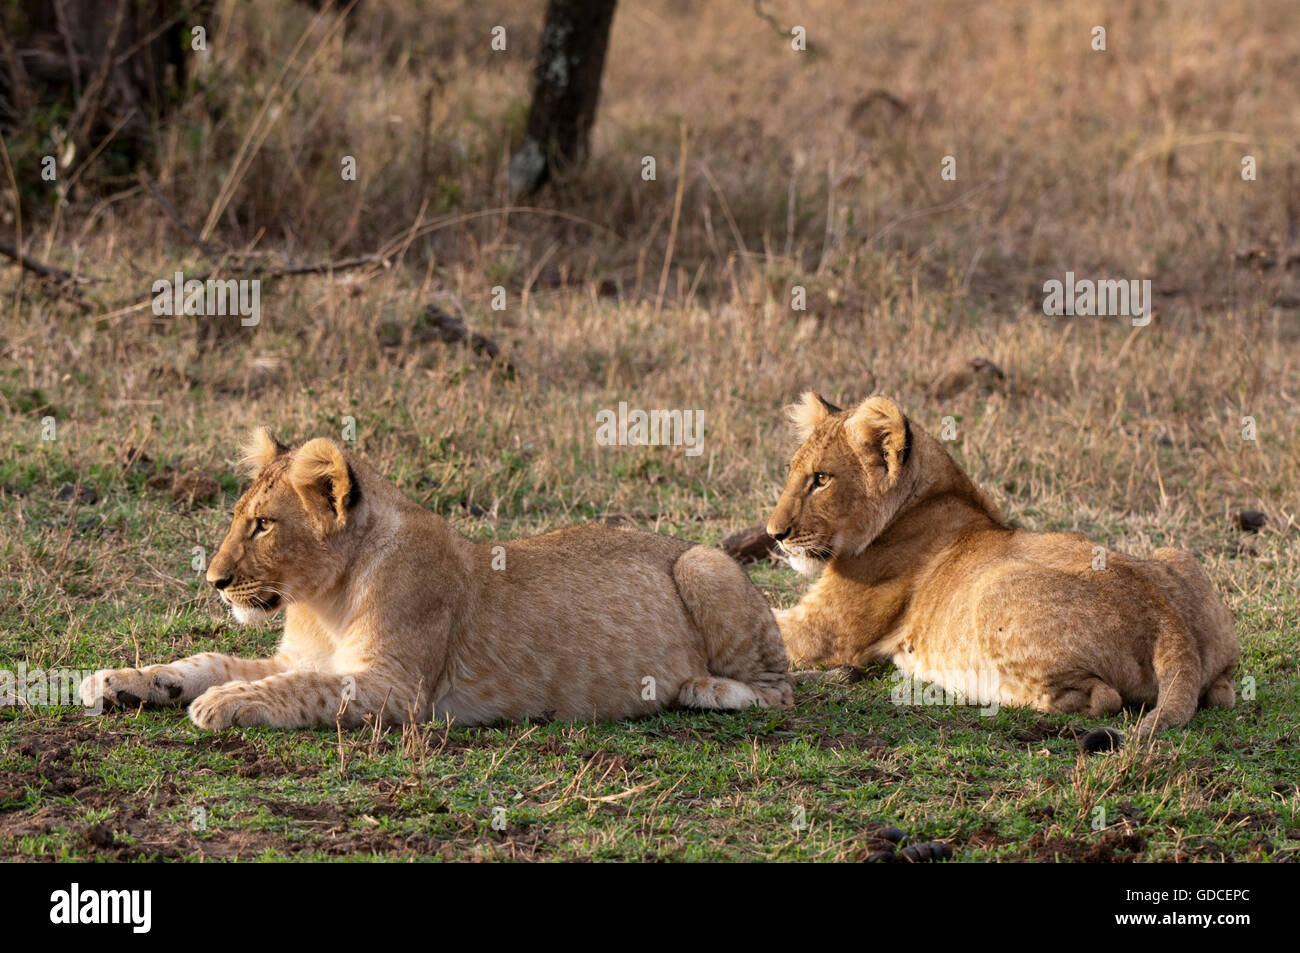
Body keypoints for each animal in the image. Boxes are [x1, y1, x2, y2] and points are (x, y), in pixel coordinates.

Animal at [80, 429, 792, 729]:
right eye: (237, 518)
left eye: (261, 525)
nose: (215, 582)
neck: (323, 598)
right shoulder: (297, 655)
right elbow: (207, 661)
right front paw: (118, 681)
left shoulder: (397, 687)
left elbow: (300, 689)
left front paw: (226, 703)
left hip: (703, 562)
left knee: (781, 689)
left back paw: (702, 690)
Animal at [765, 392, 1238, 738]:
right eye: (792, 472)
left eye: (822, 479)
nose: (774, 534)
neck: (926, 497)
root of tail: (1166, 619)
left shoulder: (826, 632)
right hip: (1177, 557)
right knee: (1223, 694)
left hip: (994, 588)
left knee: (1103, 698)